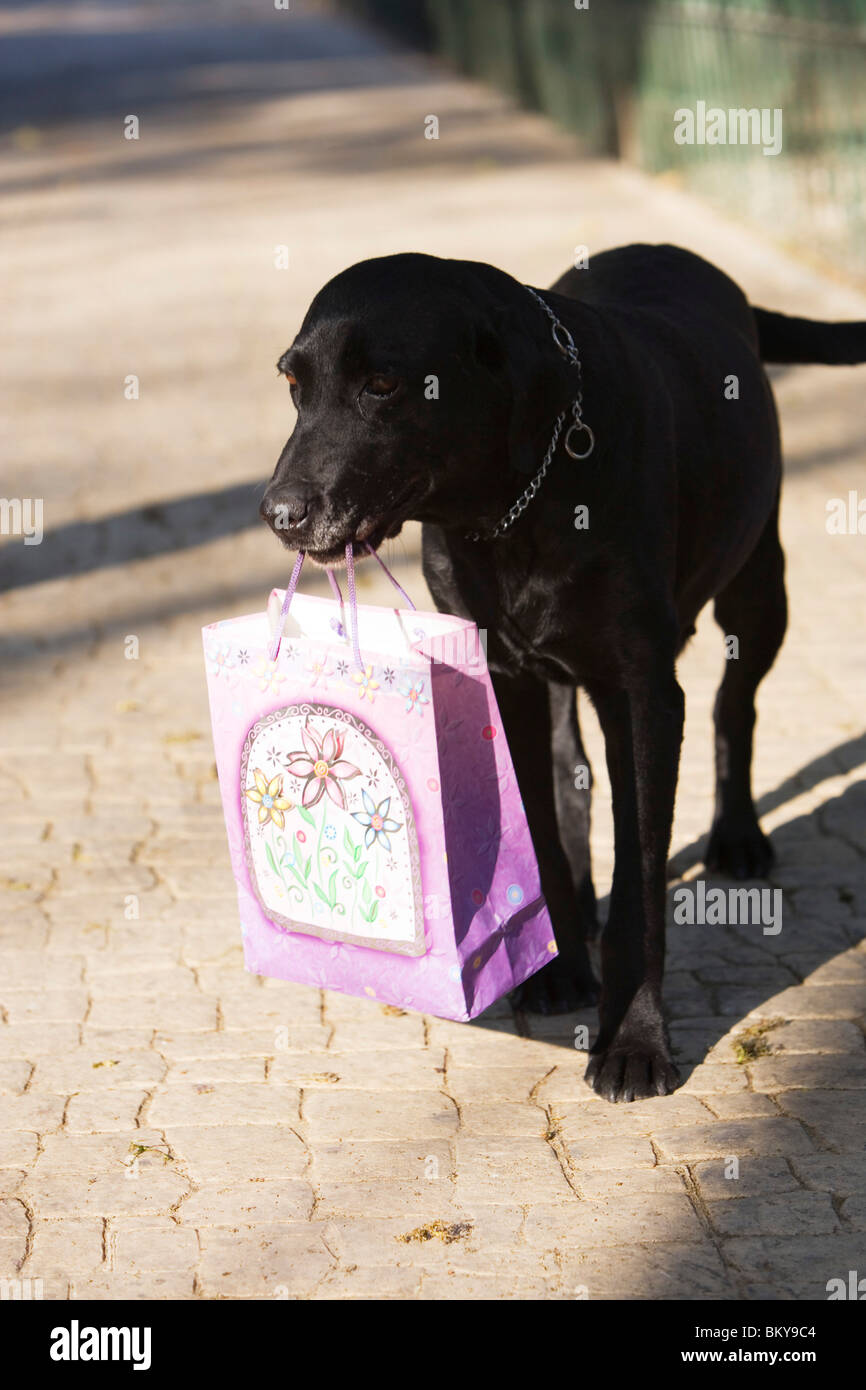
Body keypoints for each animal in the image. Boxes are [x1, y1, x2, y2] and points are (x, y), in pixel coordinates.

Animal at [262, 244, 866, 1100]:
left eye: (382, 384)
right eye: (293, 384)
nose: (279, 513)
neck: (517, 502)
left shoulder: (642, 694)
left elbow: (642, 883)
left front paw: (635, 1040)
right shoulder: (506, 675)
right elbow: (544, 827)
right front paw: (556, 966)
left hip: (758, 585)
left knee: (735, 702)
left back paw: (738, 836)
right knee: (568, 769)